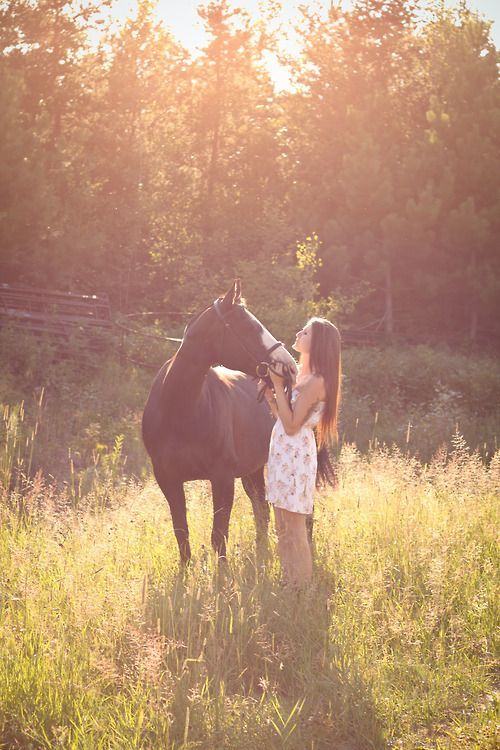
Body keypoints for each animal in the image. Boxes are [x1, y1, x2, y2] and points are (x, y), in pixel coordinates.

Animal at [141, 282, 296, 564]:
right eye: (249, 327)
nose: (289, 366)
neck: (180, 411)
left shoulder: (222, 478)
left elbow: (219, 536)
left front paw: (222, 575)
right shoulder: (168, 480)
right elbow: (182, 535)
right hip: (252, 470)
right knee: (261, 508)